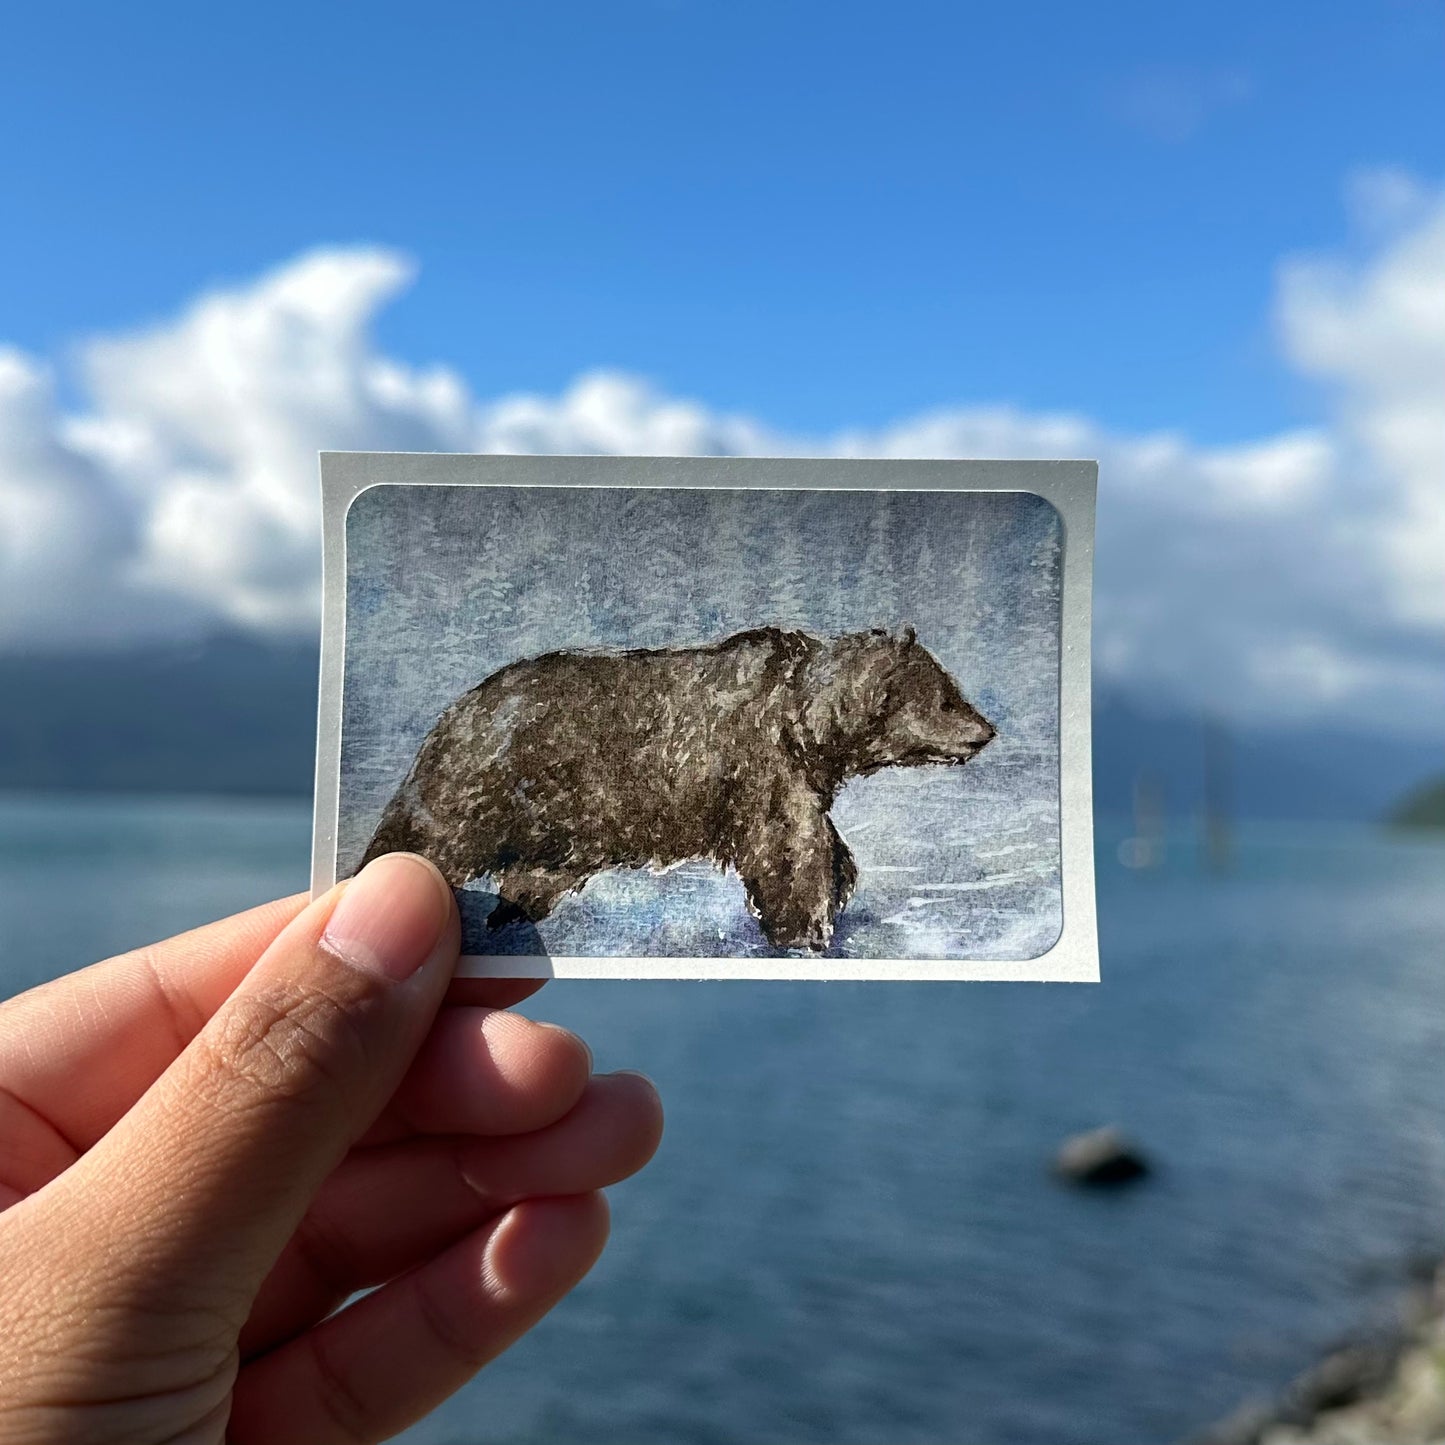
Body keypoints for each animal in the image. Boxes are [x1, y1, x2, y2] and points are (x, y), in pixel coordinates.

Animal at [358, 627, 994, 953]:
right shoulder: (762, 770)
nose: (987, 730)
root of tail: (462, 705)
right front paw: (805, 928)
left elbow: (825, 845)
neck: (806, 723)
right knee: (427, 836)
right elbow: (791, 850)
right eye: (946, 697)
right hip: (484, 783)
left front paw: (833, 898)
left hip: (564, 829)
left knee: (530, 878)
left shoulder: (799, 778)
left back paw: (508, 915)